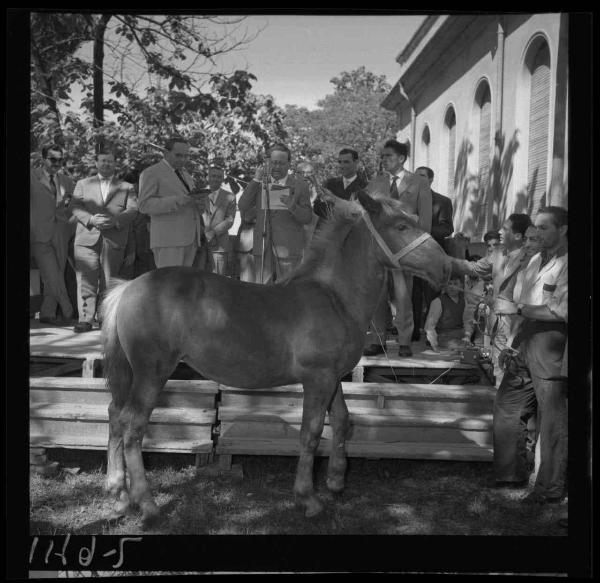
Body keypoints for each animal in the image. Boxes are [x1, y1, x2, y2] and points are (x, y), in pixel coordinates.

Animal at [102, 192, 450, 524]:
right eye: (401, 226)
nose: (447, 268)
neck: (334, 298)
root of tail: (128, 287)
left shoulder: (334, 378)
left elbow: (342, 420)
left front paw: (336, 481)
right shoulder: (318, 379)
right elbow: (311, 433)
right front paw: (308, 498)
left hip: (130, 374)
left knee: (115, 416)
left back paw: (119, 497)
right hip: (152, 373)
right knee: (133, 427)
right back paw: (147, 504)